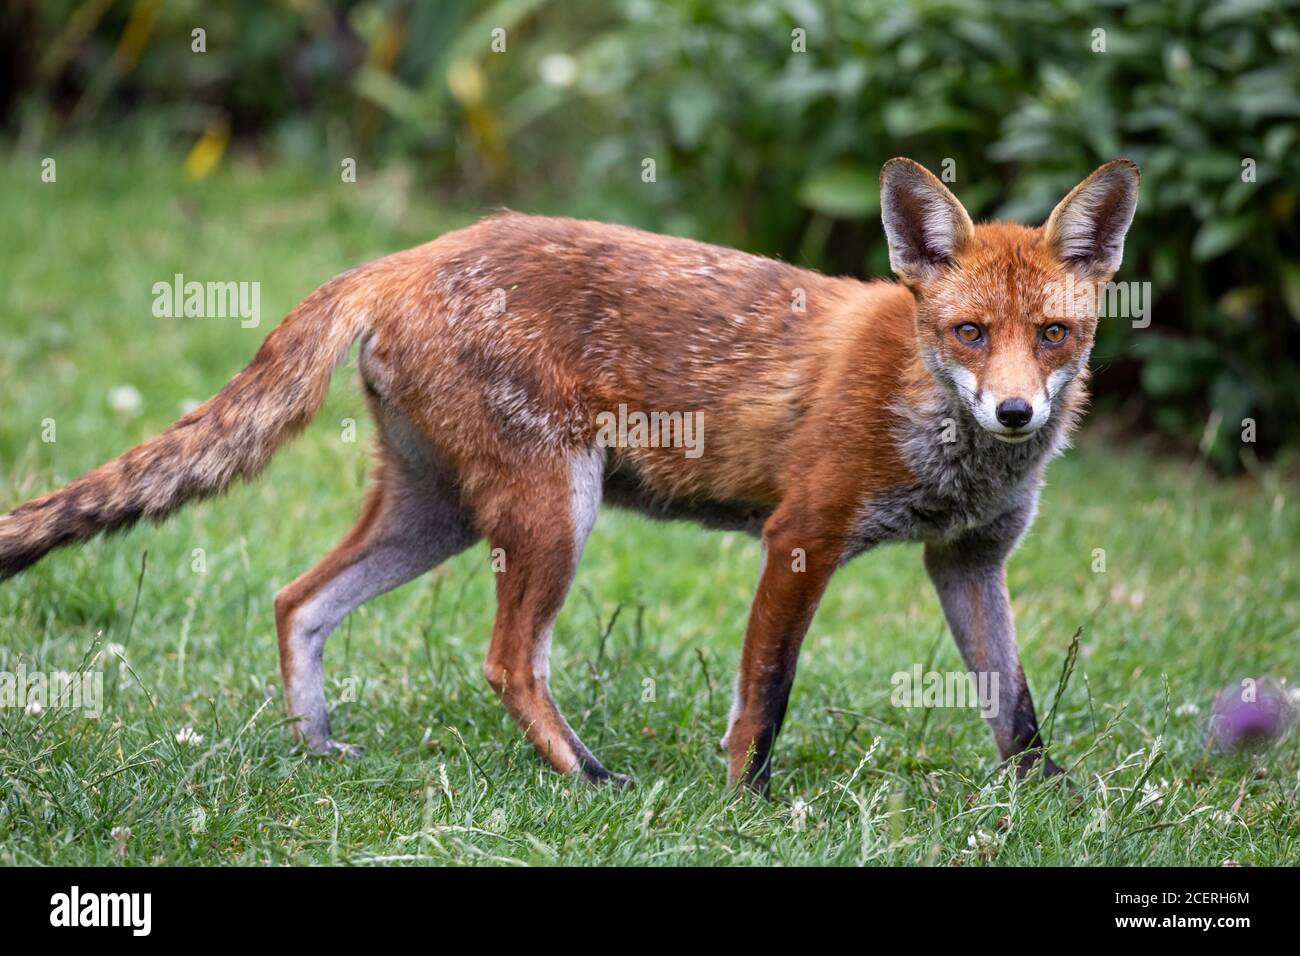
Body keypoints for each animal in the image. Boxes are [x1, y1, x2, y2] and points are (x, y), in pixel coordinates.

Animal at [0, 158, 1138, 790]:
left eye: (1052, 334)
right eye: (969, 331)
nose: (1015, 412)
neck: (932, 416)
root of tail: (407, 255)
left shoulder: (969, 560)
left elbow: (1015, 705)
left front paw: (1045, 795)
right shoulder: (801, 536)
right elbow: (765, 693)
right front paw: (749, 803)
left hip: (440, 514)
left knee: (297, 601)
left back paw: (315, 747)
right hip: (555, 509)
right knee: (507, 660)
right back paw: (587, 777)